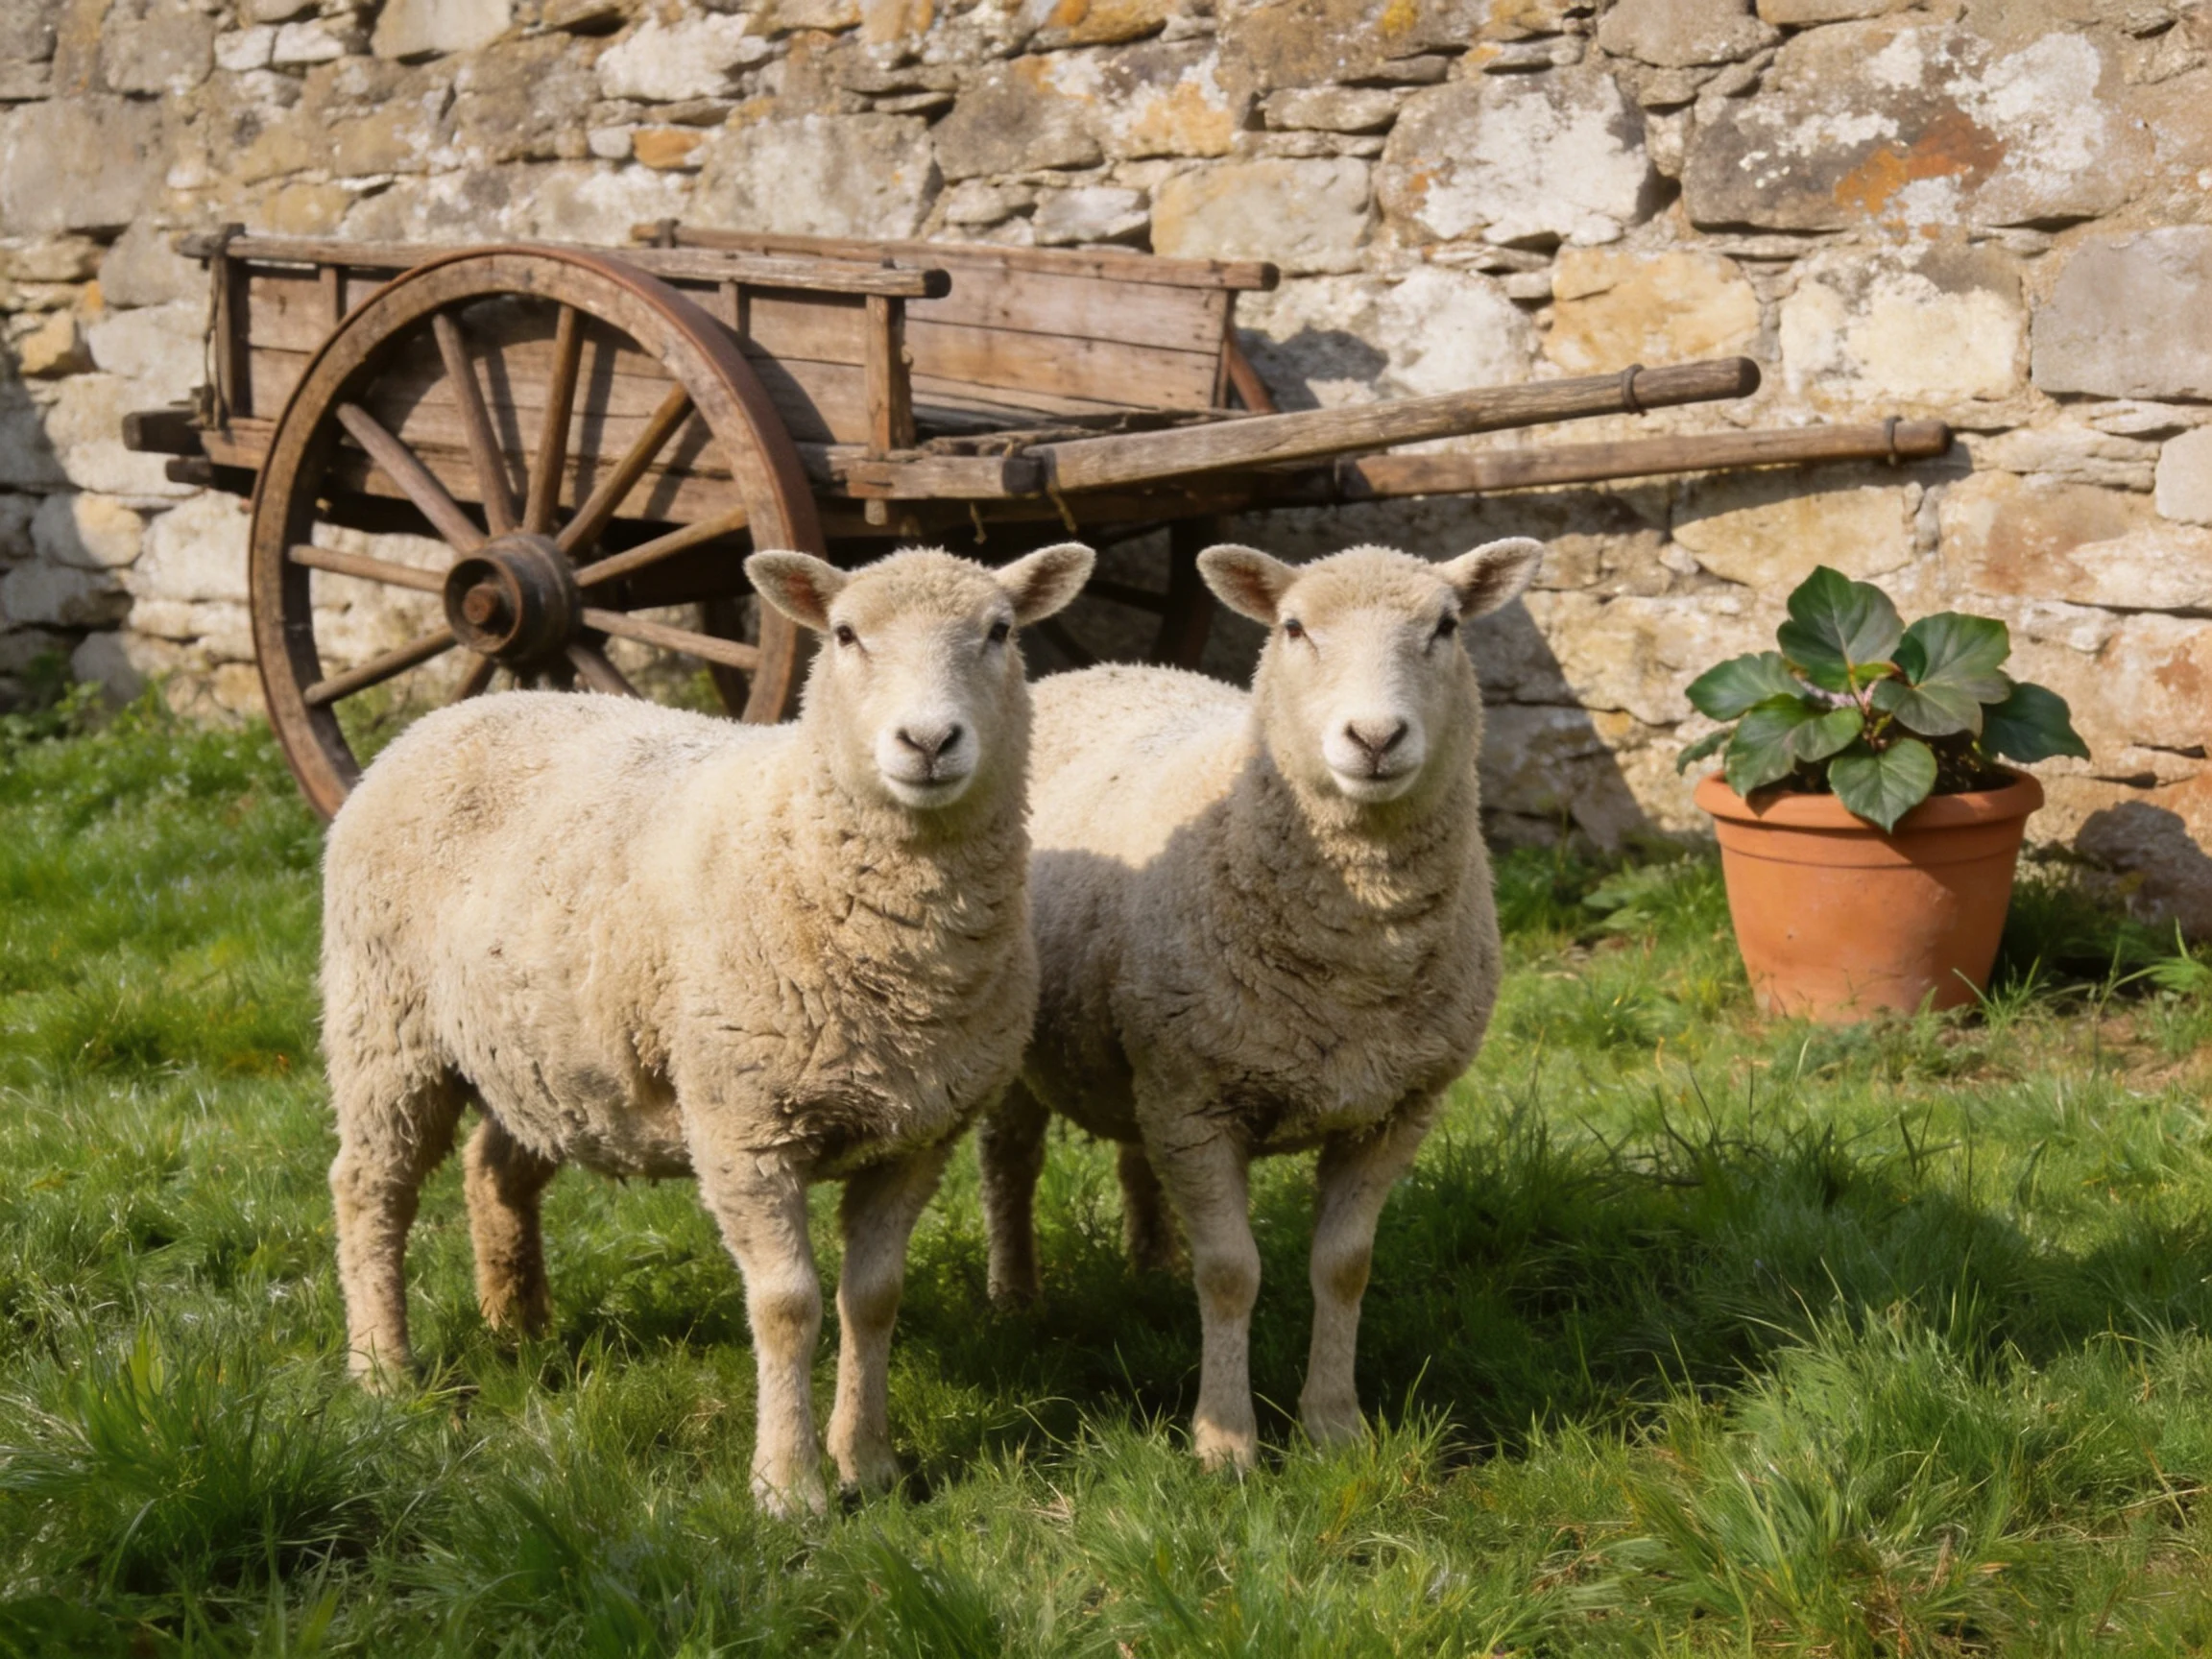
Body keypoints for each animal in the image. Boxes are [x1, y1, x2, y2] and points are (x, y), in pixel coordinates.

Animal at [320, 541, 1095, 1515]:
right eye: (846, 635)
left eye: (998, 631)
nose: (927, 743)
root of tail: (456, 711)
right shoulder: (742, 1127)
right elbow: (789, 1305)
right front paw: (789, 1486)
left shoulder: (917, 1135)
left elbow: (872, 1298)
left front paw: (870, 1464)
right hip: (385, 1021)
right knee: (370, 1187)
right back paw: (381, 1368)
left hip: (541, 1050)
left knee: (493, 1168)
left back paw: (518, 1325)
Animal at [976, 538, 1544, 1470]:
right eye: (1294, 628)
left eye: (1446, 626)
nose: (1376, 737)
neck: (1358, 961)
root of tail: (1106, 667)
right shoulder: (1198, 1104)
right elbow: (1232, 1273)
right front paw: (1224, 1441)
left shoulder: (1395, 1107)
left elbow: (1344, 1267)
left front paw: (1335, 1425)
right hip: (1038, 1049)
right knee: (1010, 1164)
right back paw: (1017, 1299)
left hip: (1147, 1053)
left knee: (1134, 1156)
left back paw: (1151, 1266)